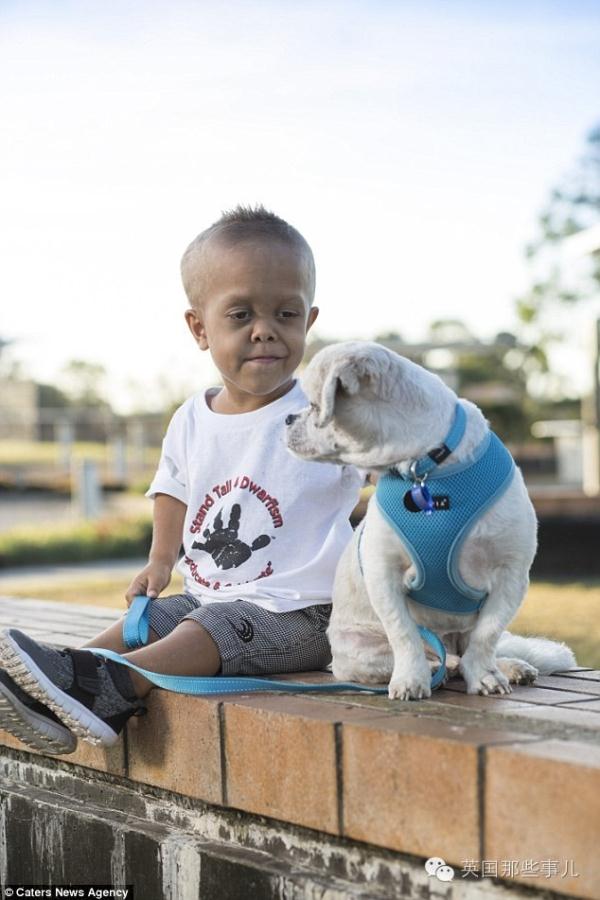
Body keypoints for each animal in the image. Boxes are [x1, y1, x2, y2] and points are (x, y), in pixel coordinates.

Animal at [286, 342, 576, 700]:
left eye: (313, 406)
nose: (287, 418)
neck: (427, 468)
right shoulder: (383, 575)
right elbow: (404, 633)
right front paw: (411, 679)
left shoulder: (511, 575)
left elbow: (487, 636)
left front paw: (485, 675)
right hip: (358, 652)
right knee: (434, 658)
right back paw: (442, 667)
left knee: (469, 651)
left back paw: (505, 666)